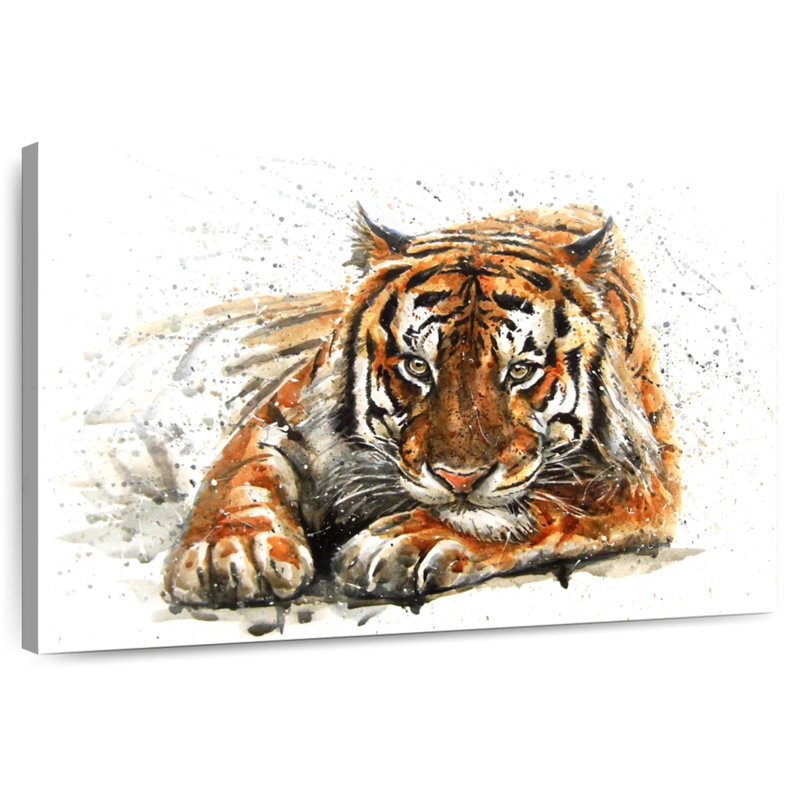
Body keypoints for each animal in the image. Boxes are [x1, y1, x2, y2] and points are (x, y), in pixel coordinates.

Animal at [164, 202, 681, 606]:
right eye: (417, 367)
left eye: (520, 371)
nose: (460, 479)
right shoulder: (283, 412)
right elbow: (239, 472)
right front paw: (230, 549)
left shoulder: (642, 475)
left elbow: (543, 505)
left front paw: (405, 540)